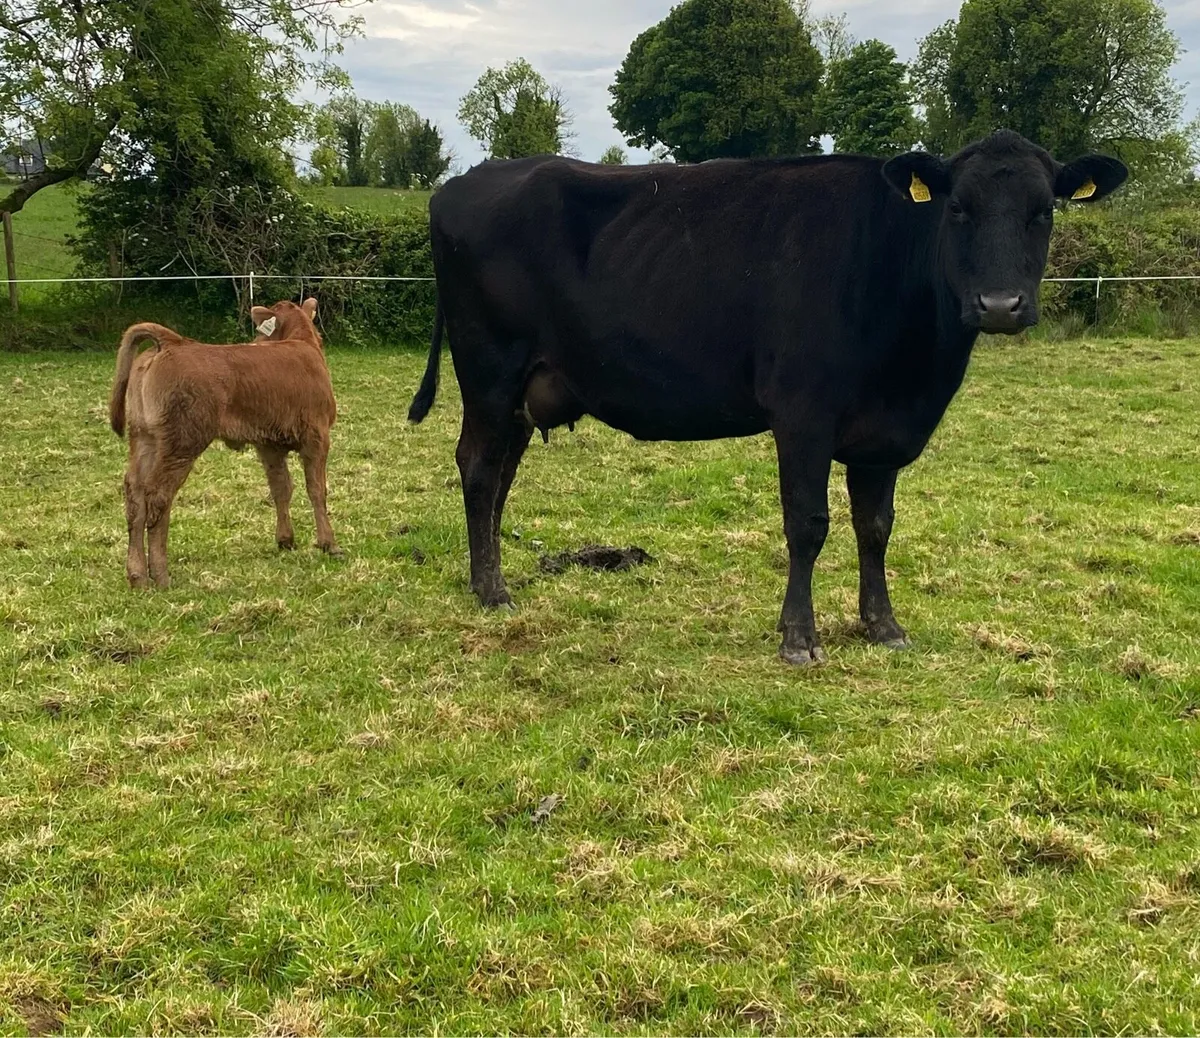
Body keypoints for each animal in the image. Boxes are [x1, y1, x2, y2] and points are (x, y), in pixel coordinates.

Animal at [110, 297, 340, 589]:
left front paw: (285, 540)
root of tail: (172, 341)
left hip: (144, 437)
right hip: (182, 441)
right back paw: (160, 575)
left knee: (135, 495)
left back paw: (137, 575)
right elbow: (317, 489)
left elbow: (281, 488)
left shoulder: (269, 444)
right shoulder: (317, 436)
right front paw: (329, 543)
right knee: (158, 495)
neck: (302, 343)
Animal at [408, 131, 1127, 665]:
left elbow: (876, 527)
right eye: (958, 209)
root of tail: (464, 182)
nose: (1000, 305)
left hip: (524, 391)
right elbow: (807, 524)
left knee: (501, 474)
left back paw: (491, 576)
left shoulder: (883, 434)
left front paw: (883, 626)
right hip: (490, 370)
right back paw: (491, 590)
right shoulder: (803, 413)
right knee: (478, 467)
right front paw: (799, 638)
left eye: (1043, 211)